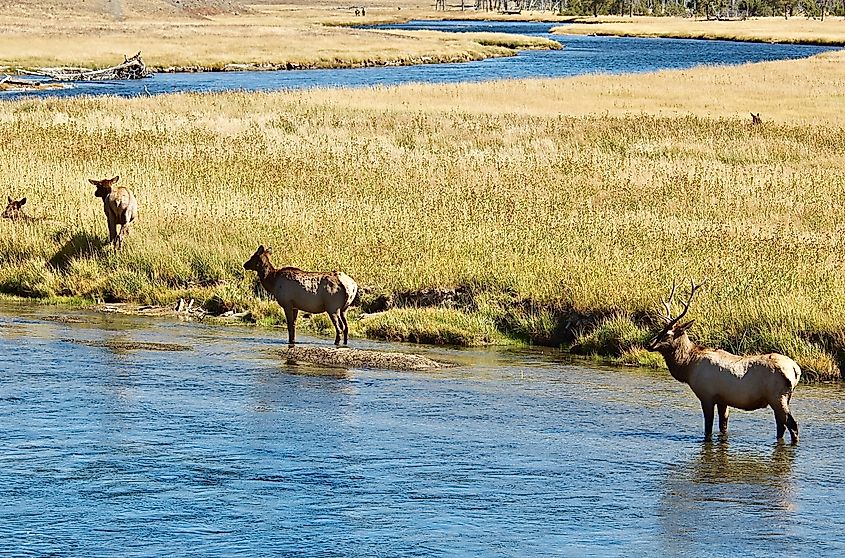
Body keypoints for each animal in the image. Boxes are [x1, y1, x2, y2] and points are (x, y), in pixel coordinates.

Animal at [645, 280, 801, 444]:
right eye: (660, 330)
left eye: (667, 334)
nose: (649, 344)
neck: (688, 367)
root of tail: (796, 370)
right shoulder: (723, 400)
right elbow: (723, 427)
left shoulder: (707, 395)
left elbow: (708, 428)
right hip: (782, 398)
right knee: (781, 425)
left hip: (777, 396)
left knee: (792, 424)